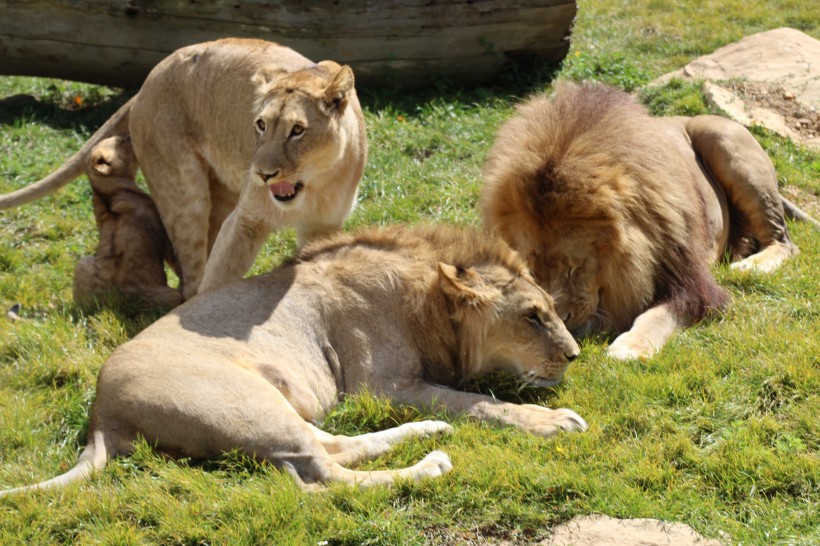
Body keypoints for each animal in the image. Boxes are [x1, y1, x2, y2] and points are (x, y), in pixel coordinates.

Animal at [1, 222, 588, 492]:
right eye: (533, 316)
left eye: (549, 310)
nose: (575, 354)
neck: (427, 301)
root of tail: (102, 414)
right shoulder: (382, 386)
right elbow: (478, 401)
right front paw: (554, 420)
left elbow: (467, 400)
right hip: (245, 404)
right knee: (325, 472)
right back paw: (432, 461)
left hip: (271, 407)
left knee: (333, 446)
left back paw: (427, 432)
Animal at [72, 134, 183, 308]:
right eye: (122, 142)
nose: (127, 134)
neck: (106, 193)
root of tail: (116, 301)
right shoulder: (160, 231)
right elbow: (174, 259)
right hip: (168, 295)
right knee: (176, 296)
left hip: (83, 263)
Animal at [480, 81, 800, 360]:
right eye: (532, 272)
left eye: (575, 268)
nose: (563, 319)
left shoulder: (692, 286)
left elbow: (656, 315)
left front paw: (629, 347)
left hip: (725, 142)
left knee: (784, 241)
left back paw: (751, 266)